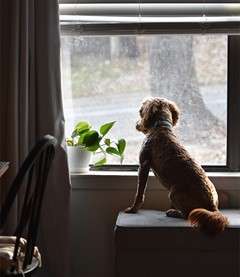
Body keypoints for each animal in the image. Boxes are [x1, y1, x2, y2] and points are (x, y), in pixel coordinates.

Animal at [125, 96, 229, 235]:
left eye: (140, 111)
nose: (136, 124)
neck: (161, 127)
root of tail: (212, 207)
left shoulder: (144, 164)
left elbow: (139, 192)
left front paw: (133, 209)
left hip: (173, 193)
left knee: (187, 215)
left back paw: (174, 212)